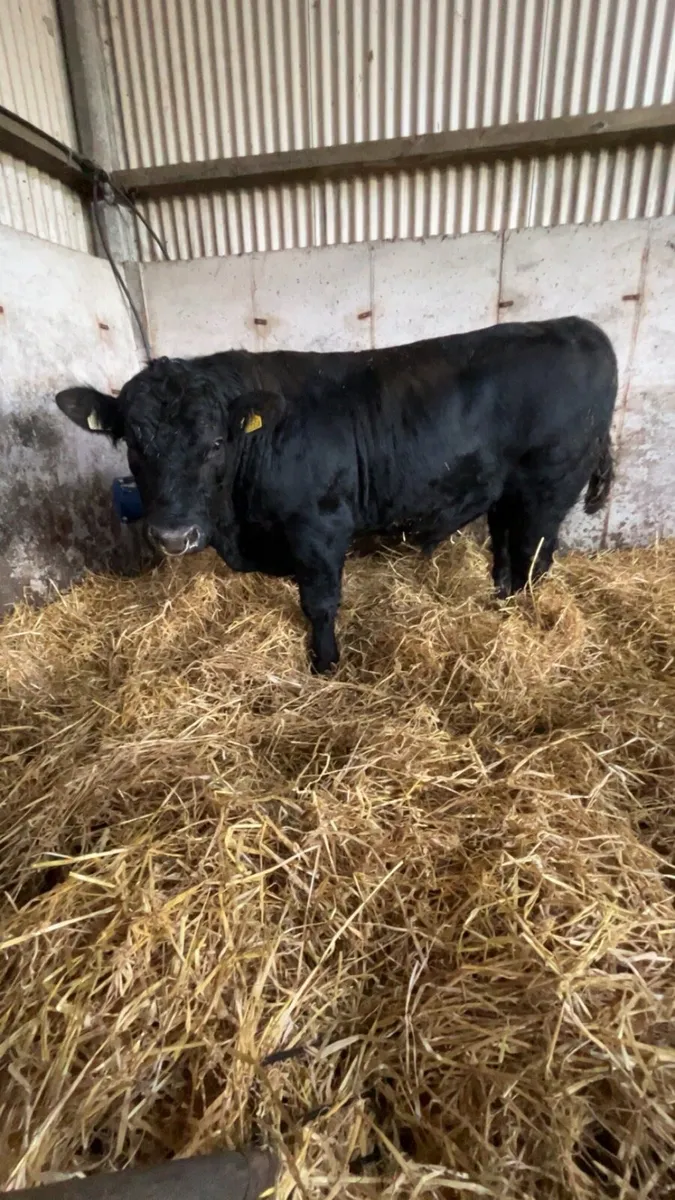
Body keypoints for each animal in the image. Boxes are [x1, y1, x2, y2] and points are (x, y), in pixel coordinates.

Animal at [55, 317, 616, 674]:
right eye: (133, 443)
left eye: (215, 442)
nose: (174, 535)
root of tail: (578, 325)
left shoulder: (320, 527)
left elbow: (319, 602)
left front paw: (324, 665)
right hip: (506, 496)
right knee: (503, 555)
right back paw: (497, 606)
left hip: (546, 490)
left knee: (531, 561)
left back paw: (520, 622)